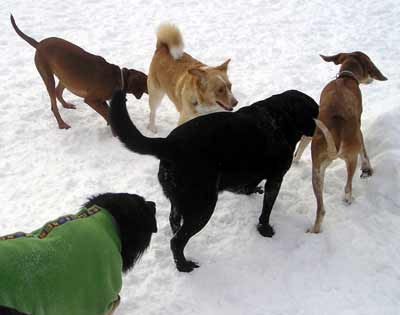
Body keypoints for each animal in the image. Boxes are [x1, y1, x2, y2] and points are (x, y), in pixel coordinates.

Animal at [11, 14, 148, 131]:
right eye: (147, 82)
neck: (119, 78)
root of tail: (39, 44)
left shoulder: (100, 100)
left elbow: (108, 112)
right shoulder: (91, 99)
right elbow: (106, 114)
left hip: (66, 77)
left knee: (57, 91)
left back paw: (66, 105)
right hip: (48, 76)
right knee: (53, 105)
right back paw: (62, 124)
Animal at [110, 90, 318, 272]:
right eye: (315, 113)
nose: (317, 130)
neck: (279, 117)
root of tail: (169, 144)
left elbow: (249, 185)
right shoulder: (276, 178)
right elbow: (267, 209)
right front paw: (265, 229)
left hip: (180, 200)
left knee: (174, 222)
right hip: (203, 206)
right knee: (176, 242)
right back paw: (183, 266)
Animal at [306, 51, 388, 235]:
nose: (371, 79)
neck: (345, 78)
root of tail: (336, 138)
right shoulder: (359, 129)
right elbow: (364, 151)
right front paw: (367, 168)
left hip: (317, 171)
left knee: (321, 209)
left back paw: (315, 230)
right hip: (351, 158)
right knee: (348, 186)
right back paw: (348, 198)